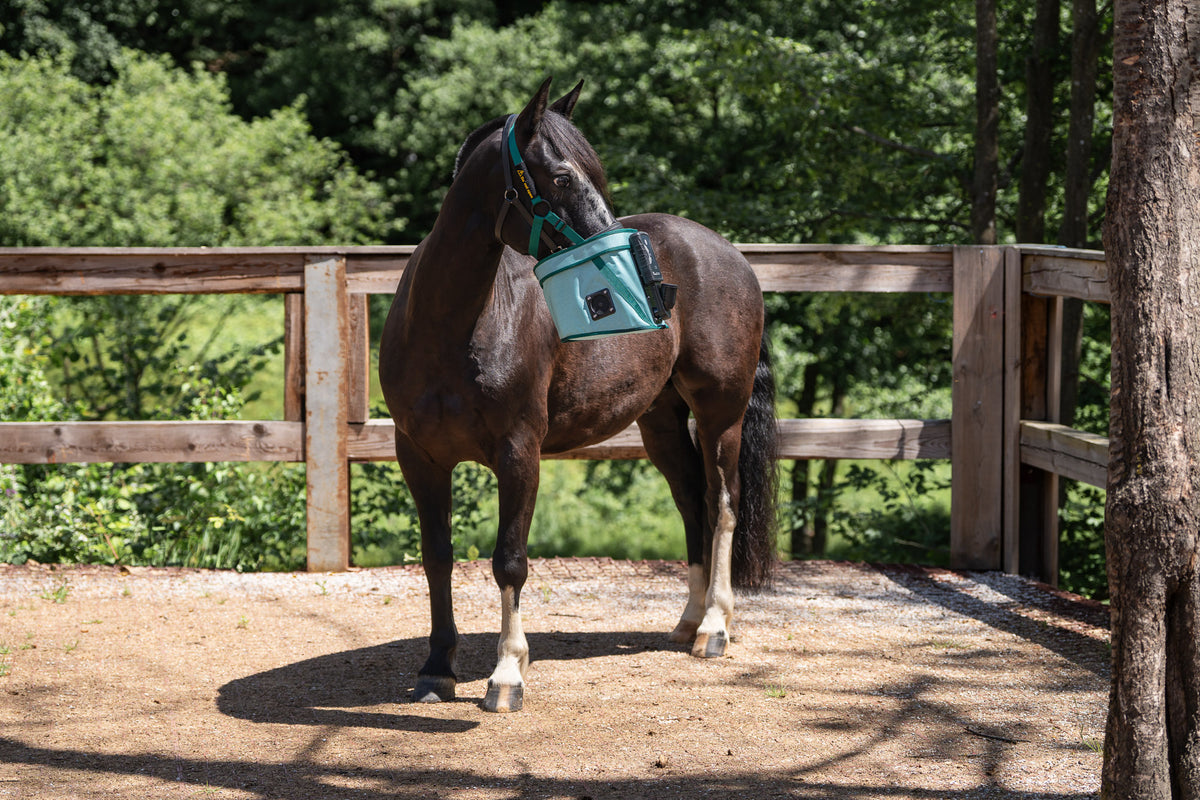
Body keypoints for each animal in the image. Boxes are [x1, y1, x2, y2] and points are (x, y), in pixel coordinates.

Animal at [379, 78, 777, 713]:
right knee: (691, 502)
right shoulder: (418, 455)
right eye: (563, 177)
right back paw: (688, 622)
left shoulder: (519, 453)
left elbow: (509, 561)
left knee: (723, 504)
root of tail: (727, 252)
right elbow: (437, 557)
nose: (646, 282)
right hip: (660, 422)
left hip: (722, 415)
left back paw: (715, 627)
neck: (451, 328)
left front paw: (507, 674)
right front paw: (437, 668)